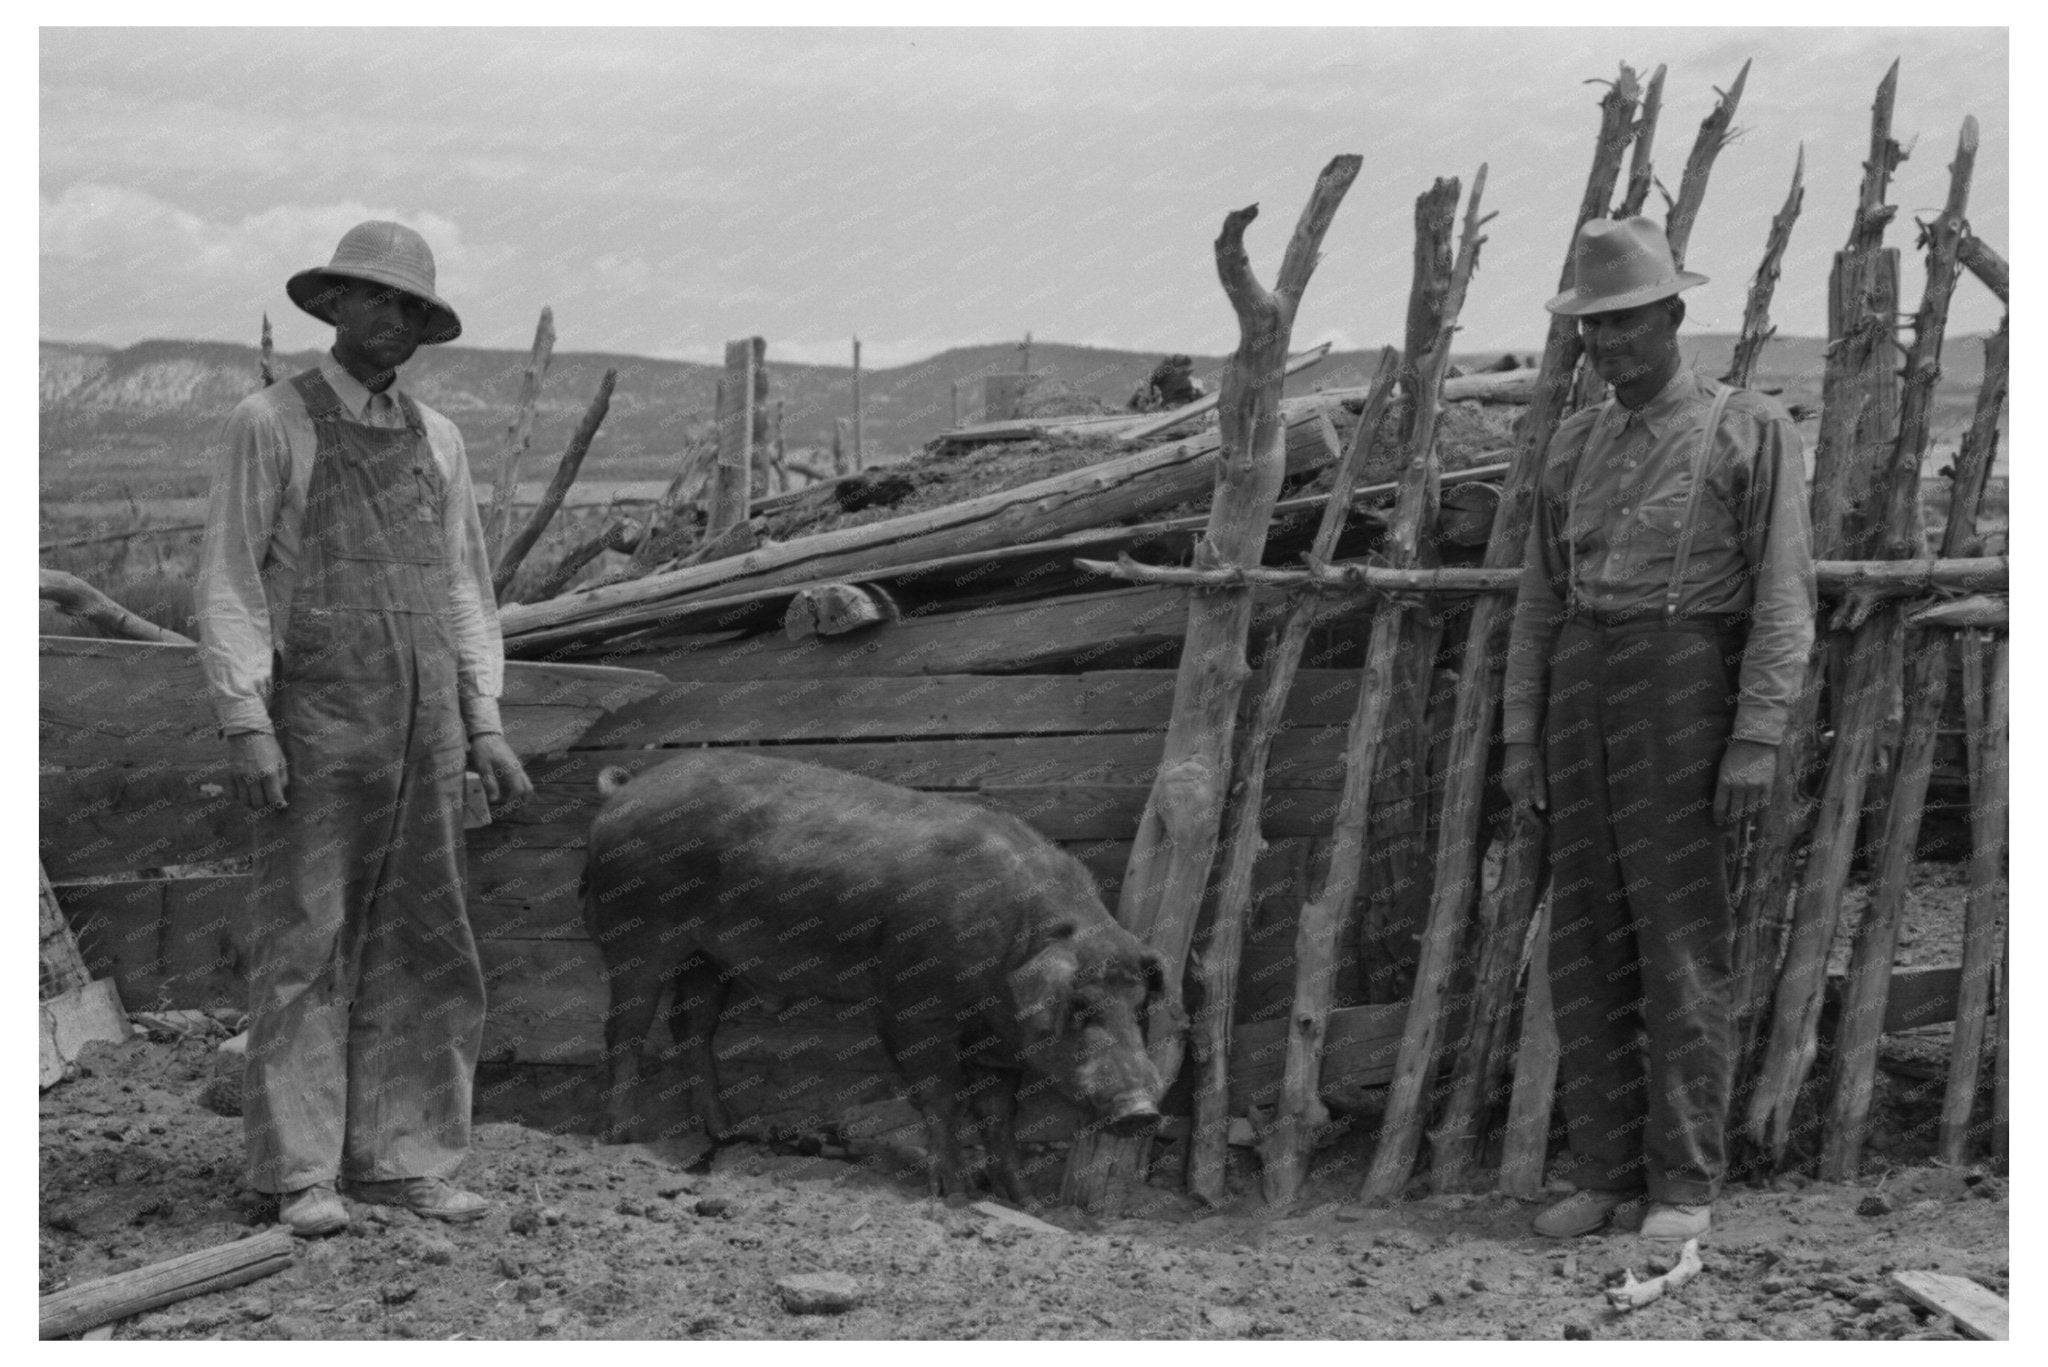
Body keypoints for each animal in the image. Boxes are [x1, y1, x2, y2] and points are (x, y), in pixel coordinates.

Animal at [577, 750, 1171, 1196]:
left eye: (1139, 1007)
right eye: (1079, 1007)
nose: (1141, 1111)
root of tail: (623, 791)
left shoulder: (997, 1040)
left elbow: (999, 1117)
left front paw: (1023, 1201)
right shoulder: (911, 1003)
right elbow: (941, 1096)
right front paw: (954, 1195)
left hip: (708, 958)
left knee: (691, 1026)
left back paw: (730, 1134)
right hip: (635, 930)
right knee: (625, 1029)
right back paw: (623, 1140)